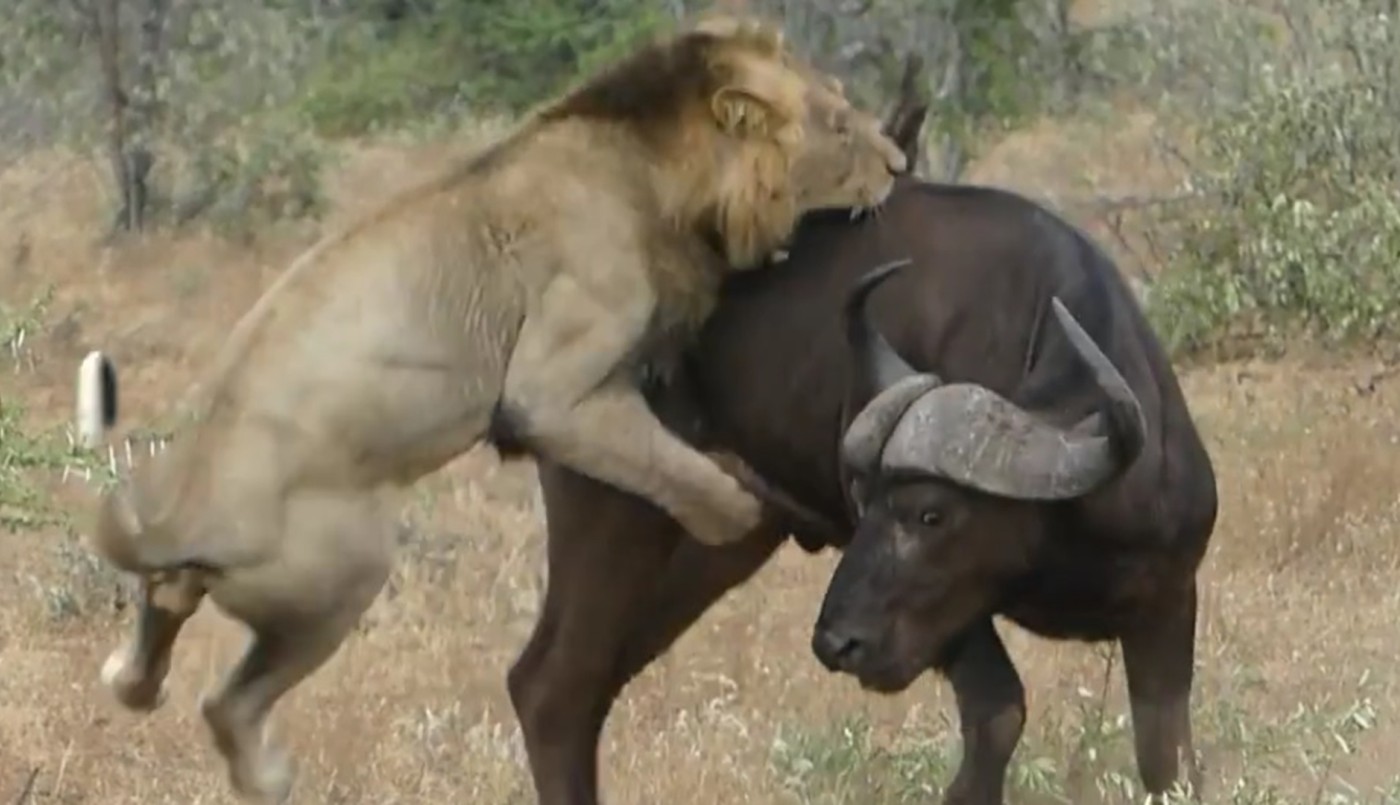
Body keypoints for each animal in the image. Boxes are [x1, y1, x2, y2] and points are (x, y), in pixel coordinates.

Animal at [73, 14, 905, 804]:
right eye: (838, 125)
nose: (899, 165)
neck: (655, 167)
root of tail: (178, 516)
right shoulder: (553, 383)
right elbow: (680, 471)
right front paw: (737, 504)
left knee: (161, 621)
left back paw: (130, 674)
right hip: (341, 573)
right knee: (227, 700)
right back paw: (269, 776)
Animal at [506, 89, 1218, 804]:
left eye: (930, 513)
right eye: (862, 499)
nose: (837, 643)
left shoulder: (1166, 606)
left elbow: (1169, 760)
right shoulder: (958, 626)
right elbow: (998, 717)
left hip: (719, 536)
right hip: (614, 513)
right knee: (553, 686)